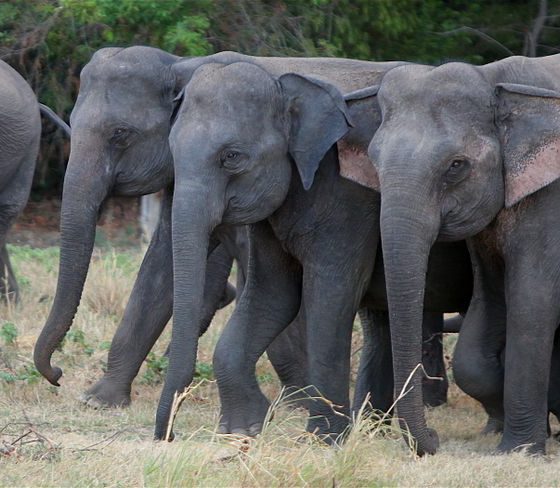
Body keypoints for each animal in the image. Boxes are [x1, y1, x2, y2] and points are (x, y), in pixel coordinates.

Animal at [156, 60, 472, 442]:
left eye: (231, 157)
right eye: (172, 151)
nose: (168, 436)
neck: (287, 84)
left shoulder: (349, 198)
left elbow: (331, 293)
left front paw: (324, 440)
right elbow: (272, 293)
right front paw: (243, 431)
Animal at [364, 55, 560, 456]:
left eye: (456, 165)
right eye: (373, 160)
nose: (436, 437)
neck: (495, 80)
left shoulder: (550, 196)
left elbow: (532, 302)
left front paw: (518, 451)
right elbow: (489, 301)